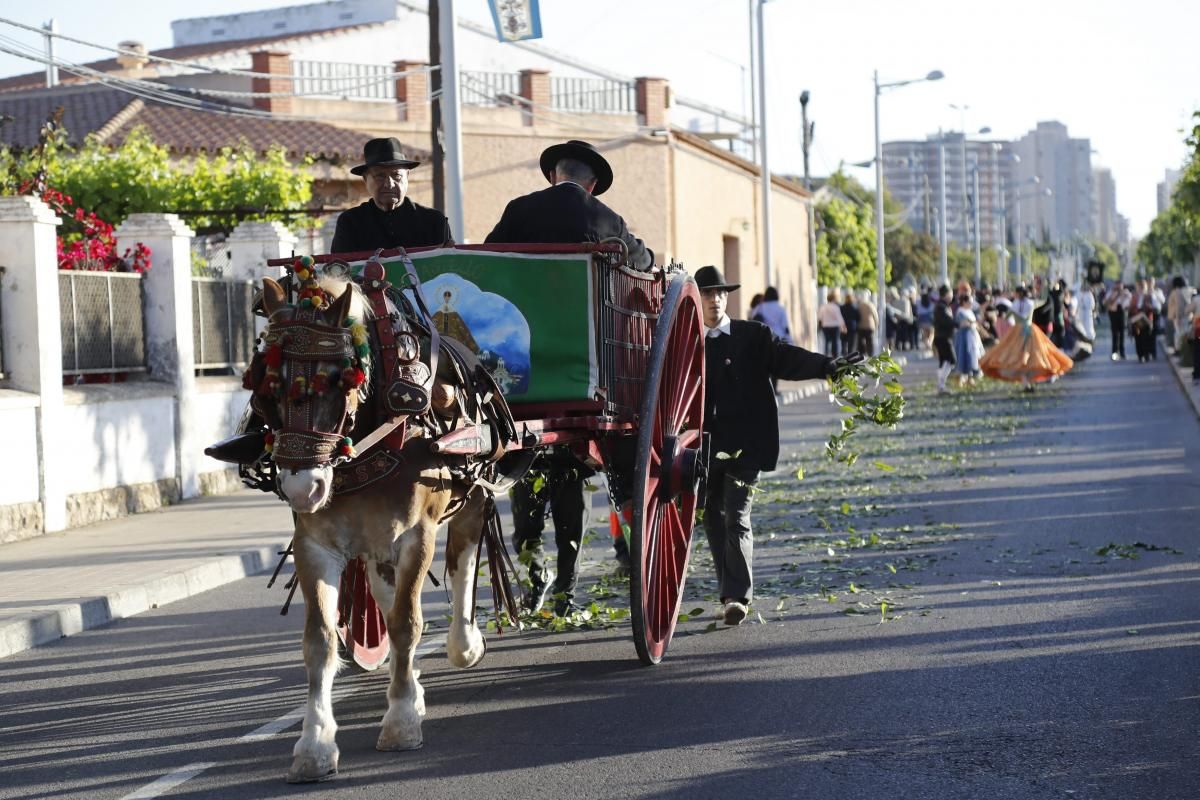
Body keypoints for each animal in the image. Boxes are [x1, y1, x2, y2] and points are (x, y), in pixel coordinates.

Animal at [250, 268, 499, 782]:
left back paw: (464, 643)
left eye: (336, 381)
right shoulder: (314, 544)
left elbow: (407, 623)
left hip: (471, 495)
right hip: (375, 542)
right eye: (267, 392)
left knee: (462, 563)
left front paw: (401, 721)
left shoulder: (416, 534)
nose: (303, 488)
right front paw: (314, 744)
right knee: (383, 592)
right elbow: (320, 641)